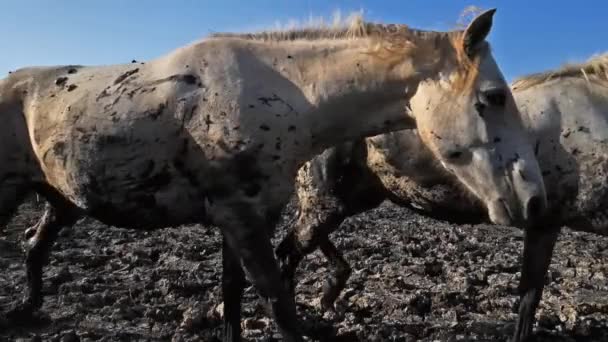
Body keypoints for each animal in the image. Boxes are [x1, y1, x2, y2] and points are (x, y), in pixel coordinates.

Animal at [0, 9, 548, 340]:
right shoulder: (239, 216)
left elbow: (233, 294)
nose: (535, 200)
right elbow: (276, 300)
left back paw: (27, 309)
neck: (284, 93)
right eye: (494, 96)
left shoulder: (251, 216)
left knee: (34, 246)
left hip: (59, 200)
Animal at [278, 52, 608, 340]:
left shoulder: (548, 222)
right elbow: (529, 298)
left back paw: (331, 291)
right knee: (288, 252)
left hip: (352, 198)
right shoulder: (545, 223)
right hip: (327, 199)